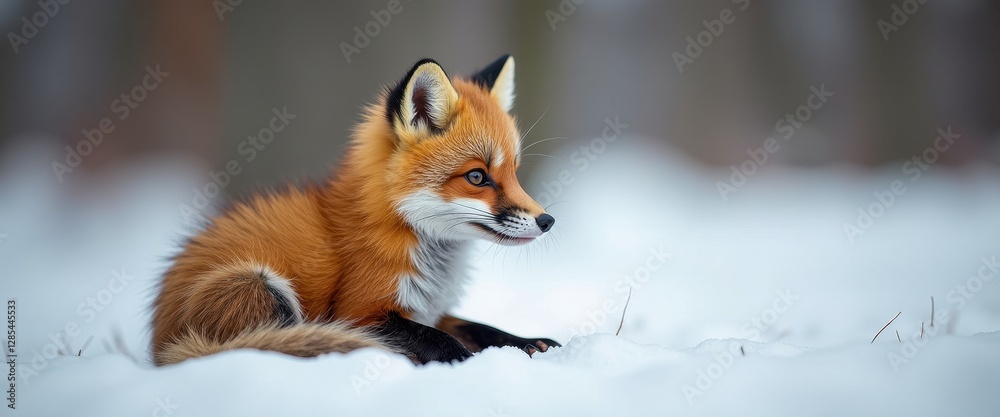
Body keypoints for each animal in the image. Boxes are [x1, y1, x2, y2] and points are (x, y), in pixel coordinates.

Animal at [151, 55, 560, 366]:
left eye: (514, 172)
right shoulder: (357, 313)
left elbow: (478, 327)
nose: (547, 221)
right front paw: (467, 361)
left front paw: (526, 341)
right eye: (477, 176)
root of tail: (161, 346)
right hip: (258, 284)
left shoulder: (429, 310)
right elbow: (439, 339)